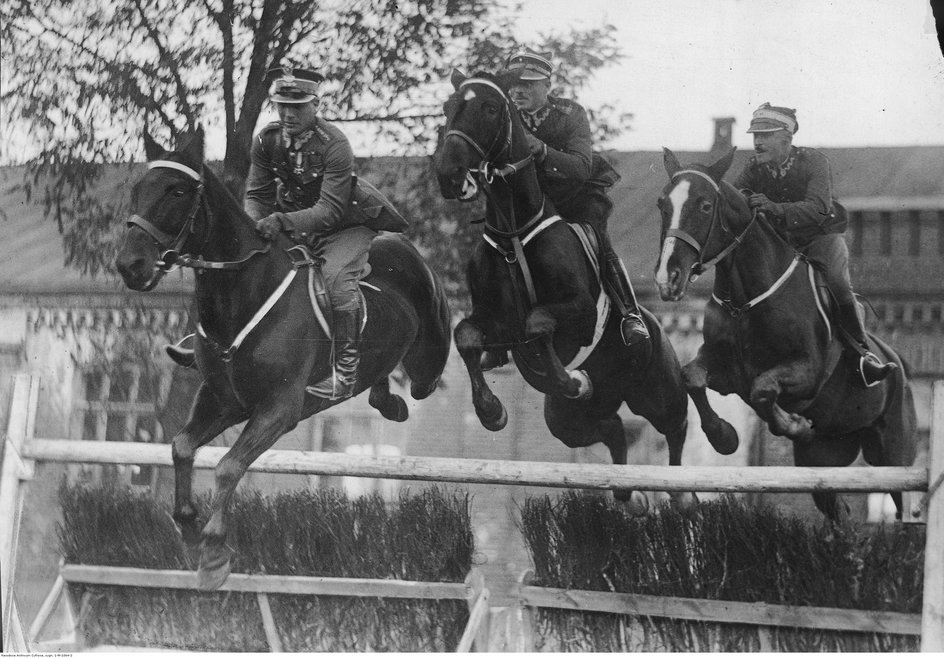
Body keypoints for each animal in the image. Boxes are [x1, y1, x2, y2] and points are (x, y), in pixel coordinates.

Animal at [114, 127, 454, 584]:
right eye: (137, 189)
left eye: (178, 191)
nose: (130, 265)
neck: (241, 292)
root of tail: (400, 242)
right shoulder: (225, 401)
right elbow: (182, 447)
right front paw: (188, 528)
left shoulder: (279, 407)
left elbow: (228, 466)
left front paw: (214, 550)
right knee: (380, 383)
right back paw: (386, 400)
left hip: (428, 357)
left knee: (446, 364)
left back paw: (491, 405)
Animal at [436, 70, 736, 508]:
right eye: (448, 106)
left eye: (490, 108)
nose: (449, 174)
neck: (514, 232)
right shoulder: (493, 322)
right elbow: (467, 335)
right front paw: (492, 410)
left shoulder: (579, 310)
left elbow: (538, 322)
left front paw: (573, 379)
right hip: (566, 422)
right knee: (612, 429)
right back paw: (628, 494)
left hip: (657, 391)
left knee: (676, 425)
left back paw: (687, 483)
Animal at [656, 147, 916, 516]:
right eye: (662, 205)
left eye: (705, 205)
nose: (668, 279)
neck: (745, 300)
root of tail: (900, 366)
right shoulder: (724, 371)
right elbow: (692, 377)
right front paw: (724, 436)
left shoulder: (806, 372)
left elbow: (762, 390)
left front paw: (794, 424)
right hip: (825, 455)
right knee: (838, 509)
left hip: (894, 453)